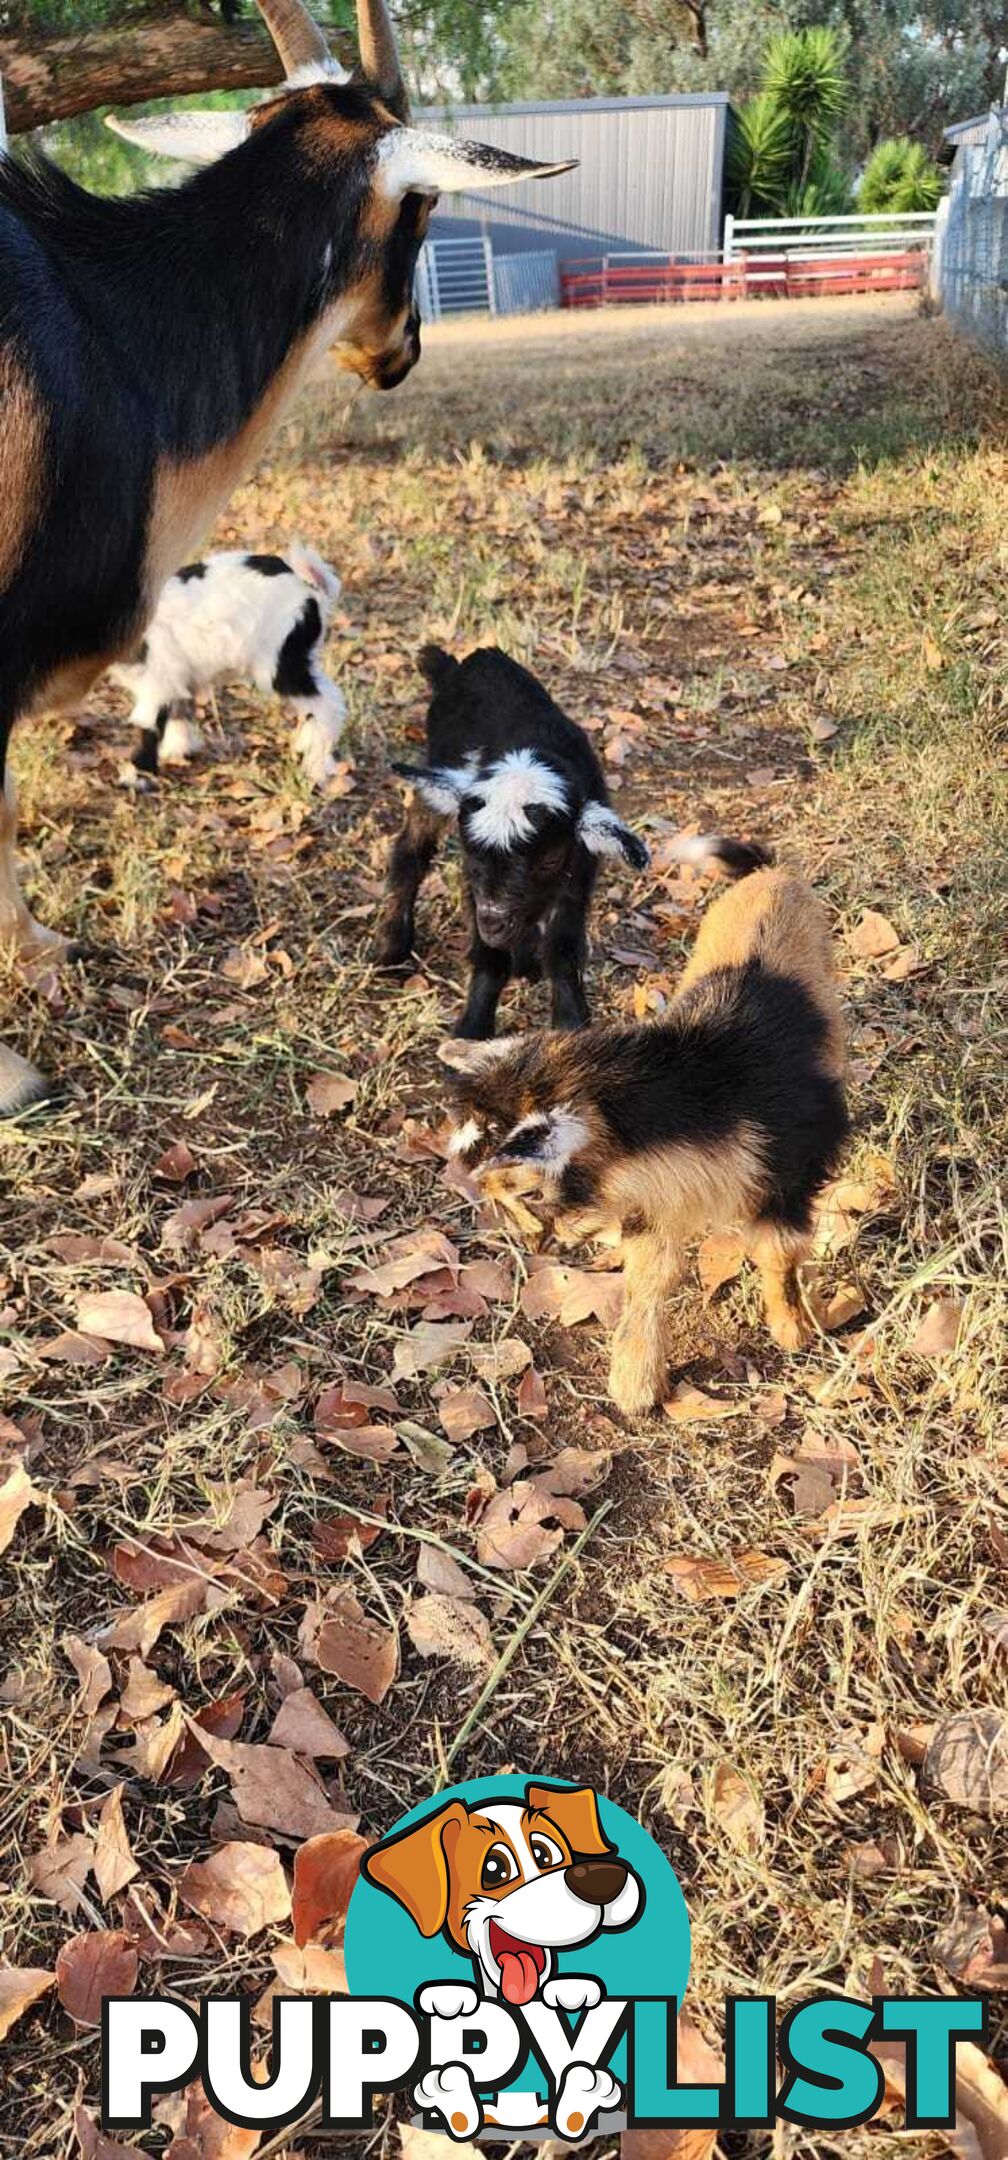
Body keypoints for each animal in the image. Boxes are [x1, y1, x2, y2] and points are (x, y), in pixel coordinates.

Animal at [112, 540, 345, 786]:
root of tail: (306, 584)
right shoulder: (176, 672)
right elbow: (178, 709)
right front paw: (178, 749)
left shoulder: (158, 677)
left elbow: (148, 725)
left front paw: (137, 775)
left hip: (280, 663)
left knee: (327, 704)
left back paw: (316, 765)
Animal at [379, 639, 656, 1036]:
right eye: (471, 852)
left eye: (550, 859)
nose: (494, 922)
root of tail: (465, 662)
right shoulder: (474, 884)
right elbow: (488, 955)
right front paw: (473, 1027)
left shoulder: (578, 872)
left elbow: (563, 947)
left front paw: (570, 1023)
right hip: (435, 778)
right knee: (411, 849)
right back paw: (392, 947)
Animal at [446, 842, 850, 1416]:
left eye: (528, 1191)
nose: (543, 1244)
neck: (707, 1092)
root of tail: (771, 874)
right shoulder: (653, 1199)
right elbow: (648, 1277)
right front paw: (635, 1386)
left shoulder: (793, 1170)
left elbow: (779, 1253)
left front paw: (793, 1332)